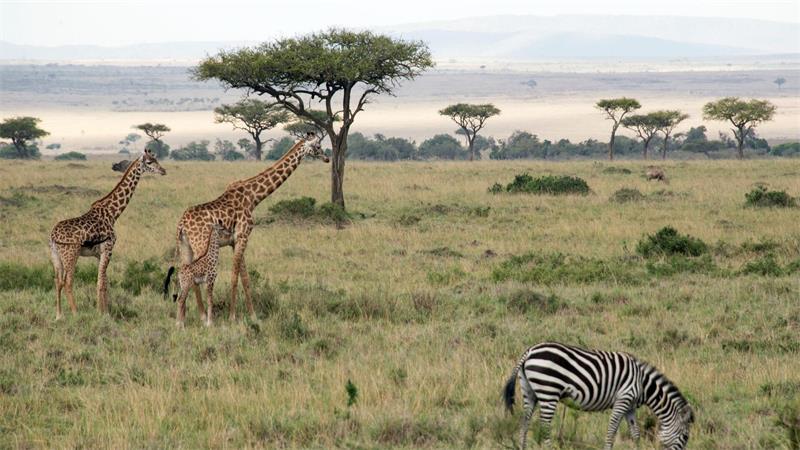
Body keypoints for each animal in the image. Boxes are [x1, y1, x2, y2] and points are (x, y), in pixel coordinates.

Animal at [504, 342, 694, 450]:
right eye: (685, 437)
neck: (642, 384)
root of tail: (529, 351)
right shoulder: (623, 400)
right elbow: (611, 431)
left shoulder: (630, 407)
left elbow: (636, 434)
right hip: (548, 390)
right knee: (544, 426)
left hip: (529, 392)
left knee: (525, 422)